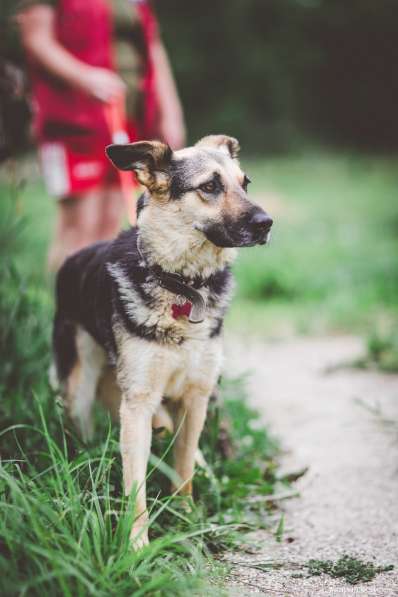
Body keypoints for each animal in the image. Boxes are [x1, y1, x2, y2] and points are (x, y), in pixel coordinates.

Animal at [51, 135, 272, 544]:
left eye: (245, 183)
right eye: (210, 186)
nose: (267, 223)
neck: (183, 286)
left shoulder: (196, 396)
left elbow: (183, 468)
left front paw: (186, 519)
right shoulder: (138, 403)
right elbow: (134, 485)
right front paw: (136, 545)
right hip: (80, 386)